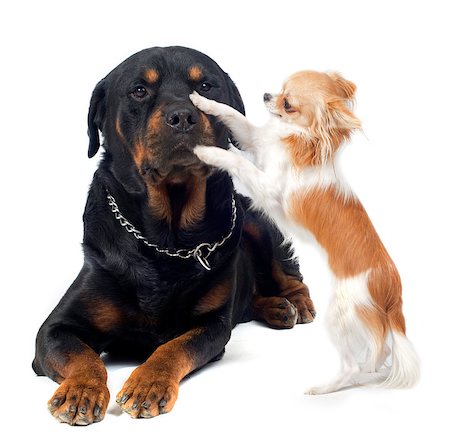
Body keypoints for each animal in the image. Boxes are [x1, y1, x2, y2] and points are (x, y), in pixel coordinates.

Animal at [31, 46, 314, 424]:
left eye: (206, 86)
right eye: (139, 91)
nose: (182, 116)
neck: (168, 238)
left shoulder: (212, 323)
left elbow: (174, 346)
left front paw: (148, 384)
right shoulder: (56, 327)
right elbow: (81, 355)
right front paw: (81, 390)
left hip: (256, 221)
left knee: (286, 274)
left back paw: (294, 303)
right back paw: (276, 307)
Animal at [192, 71, 420, 394]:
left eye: (288, 104)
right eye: (280, 89)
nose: (265, 95)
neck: (296, 138)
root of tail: (391, 290)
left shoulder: (268, 187)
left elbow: (239, 161)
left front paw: (207, 151)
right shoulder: (257, 141)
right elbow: (233, 116)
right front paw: (200, 101)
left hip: (341, 313)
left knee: (351, 364)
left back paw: (325, 388)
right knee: (382, 349)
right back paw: (370, 370)